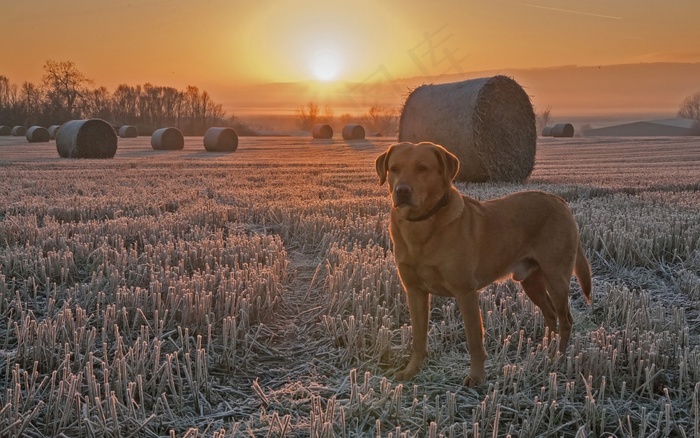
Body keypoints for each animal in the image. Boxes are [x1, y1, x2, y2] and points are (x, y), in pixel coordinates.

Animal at [378, 142, 592, 384]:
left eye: (422, 168)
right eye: (394, 169)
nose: (402, 191)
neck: (423, 226)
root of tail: (558, 200)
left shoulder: (466, 291)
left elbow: (474, 340)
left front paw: (476, 378)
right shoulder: (414, 292)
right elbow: (418, 337)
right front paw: (412, 370)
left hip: (556, 278)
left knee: (565, 320)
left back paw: (558, 358)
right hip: (531, 283)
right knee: (550, 315)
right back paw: (545, 353)